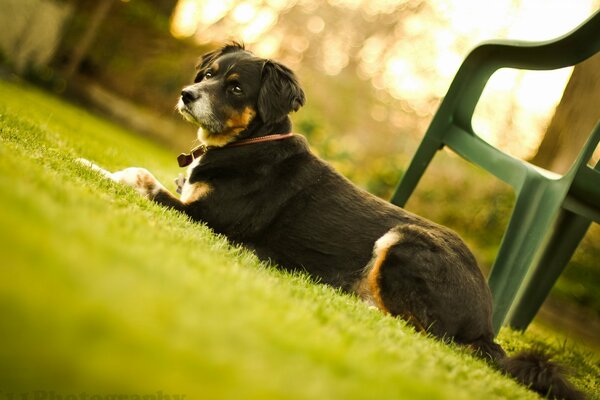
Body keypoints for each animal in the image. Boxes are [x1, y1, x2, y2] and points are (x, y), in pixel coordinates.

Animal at [79, 43, 580, 400]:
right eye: (208, 75)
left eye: (236, 87)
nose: (187, 94)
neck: (246, 145)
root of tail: (488, 322)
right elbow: (139, 171)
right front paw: (90, 160)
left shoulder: (204, 216)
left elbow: (140, 177)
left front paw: (93, 168)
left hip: (404, 241)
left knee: (421, 329)